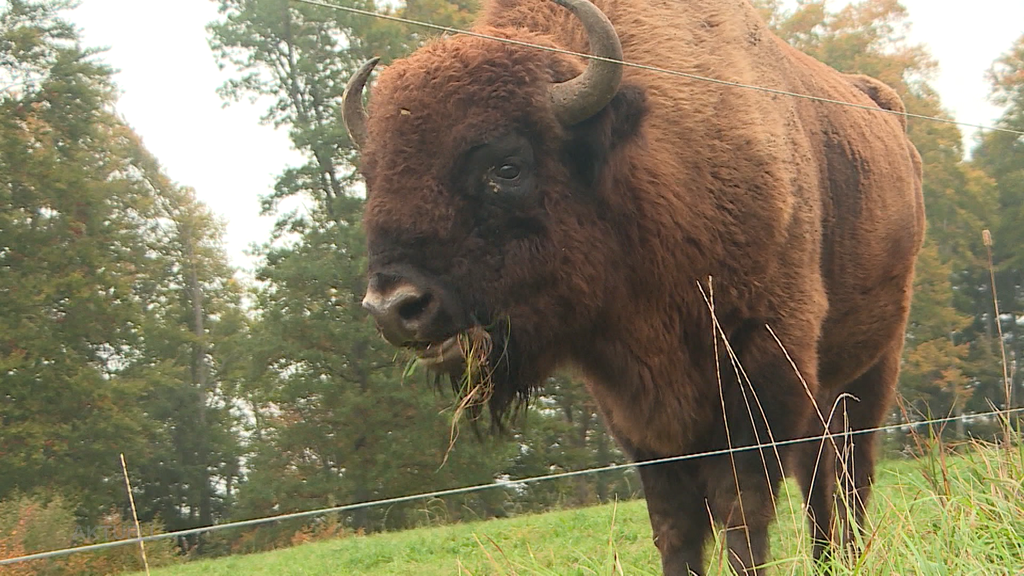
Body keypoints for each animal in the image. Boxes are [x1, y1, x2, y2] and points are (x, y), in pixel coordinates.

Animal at [344, 0, 929, 569]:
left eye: (506, 167)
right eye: (373, 176)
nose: (393, 306)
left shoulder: (765, 368)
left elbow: (742, 510)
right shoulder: (636, 410)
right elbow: (675, 525)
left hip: (874, 363)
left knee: (851, 471)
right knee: (819, 476)